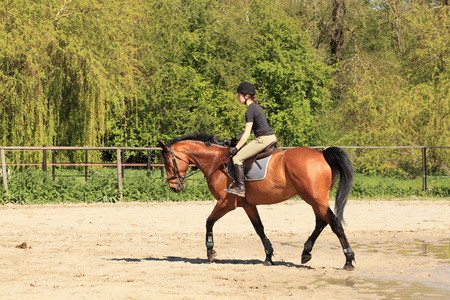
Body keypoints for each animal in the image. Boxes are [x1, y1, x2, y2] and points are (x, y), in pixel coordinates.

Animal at [158, 132, 356, 270]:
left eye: (167, 163)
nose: (174, 187)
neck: (216, 161)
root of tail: (321, 154)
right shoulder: (248, 205)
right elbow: (259, 228)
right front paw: (268, 257)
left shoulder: (225, 203)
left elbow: (209, 221)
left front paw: (210, 251)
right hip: (315, 200)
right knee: (322, 222)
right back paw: (306, 252)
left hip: (315, 199)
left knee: (334, 223)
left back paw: (348, 259)